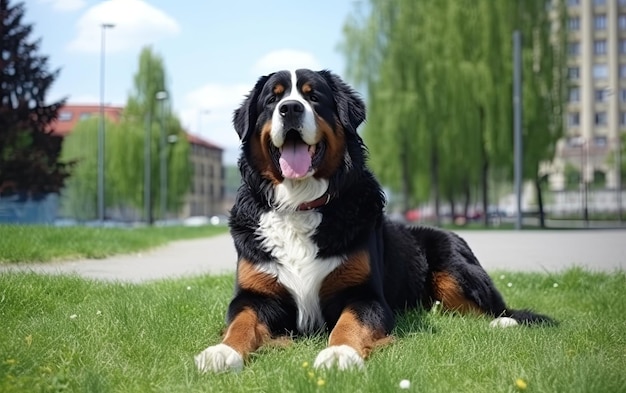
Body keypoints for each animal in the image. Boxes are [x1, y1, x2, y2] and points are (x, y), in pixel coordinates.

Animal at [194, 69, 552, 372]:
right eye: (273, 99)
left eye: (313, 97)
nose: (290, 109)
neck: (300, 205)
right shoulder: (255, 295)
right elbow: (241, 322)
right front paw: (221, 352)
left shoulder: (365, 294)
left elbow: (349, 323)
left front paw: (339, 353)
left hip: (454, 268)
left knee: (496, 308)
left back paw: (504, 322)